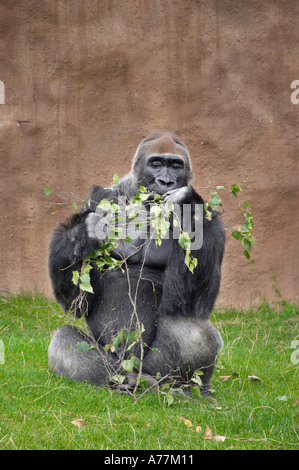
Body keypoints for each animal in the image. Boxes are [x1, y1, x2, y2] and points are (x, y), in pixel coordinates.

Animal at [48, 130, 225, 394]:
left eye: (175, 166)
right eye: (156, 164)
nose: (165, 182)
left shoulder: (213, 220)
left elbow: (193, 301)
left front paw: (188, 205)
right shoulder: (99, 199)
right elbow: (78, 300)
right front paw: (82, 233)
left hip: (153, 368)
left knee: (190, 326)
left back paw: (184, 388)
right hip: (115, 361)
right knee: (63, 341)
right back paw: (117, 381)